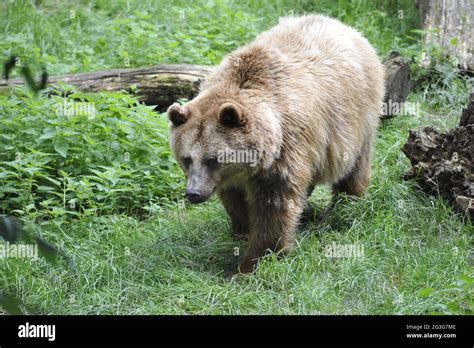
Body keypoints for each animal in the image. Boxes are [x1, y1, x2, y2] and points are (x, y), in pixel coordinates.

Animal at [167, 14, 386, 274]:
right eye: (186, 158)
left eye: (213, 159)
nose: (194, 192)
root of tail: (341, 24)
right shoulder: (231, 176)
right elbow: (235, 199)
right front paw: (242, 229)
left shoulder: (286, 147)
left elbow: (274, 206)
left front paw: (251, 263)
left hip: (357, 117)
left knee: (354, 166)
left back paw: (344, 207)